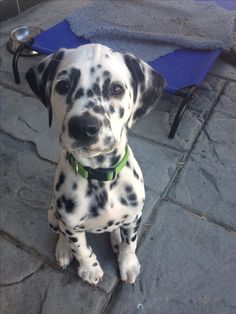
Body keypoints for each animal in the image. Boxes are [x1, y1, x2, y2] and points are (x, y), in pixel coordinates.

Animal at [24, 43, 165, 286]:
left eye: (116, 89)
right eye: (63, 85)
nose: (83, 127)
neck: (99, 176)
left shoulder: (134, 216)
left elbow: (130, 244)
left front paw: (128, 264)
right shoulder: (71, 224)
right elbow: (80, 248)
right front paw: (89, 269)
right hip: (52, 214)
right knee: (60, 231)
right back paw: (63, 249)